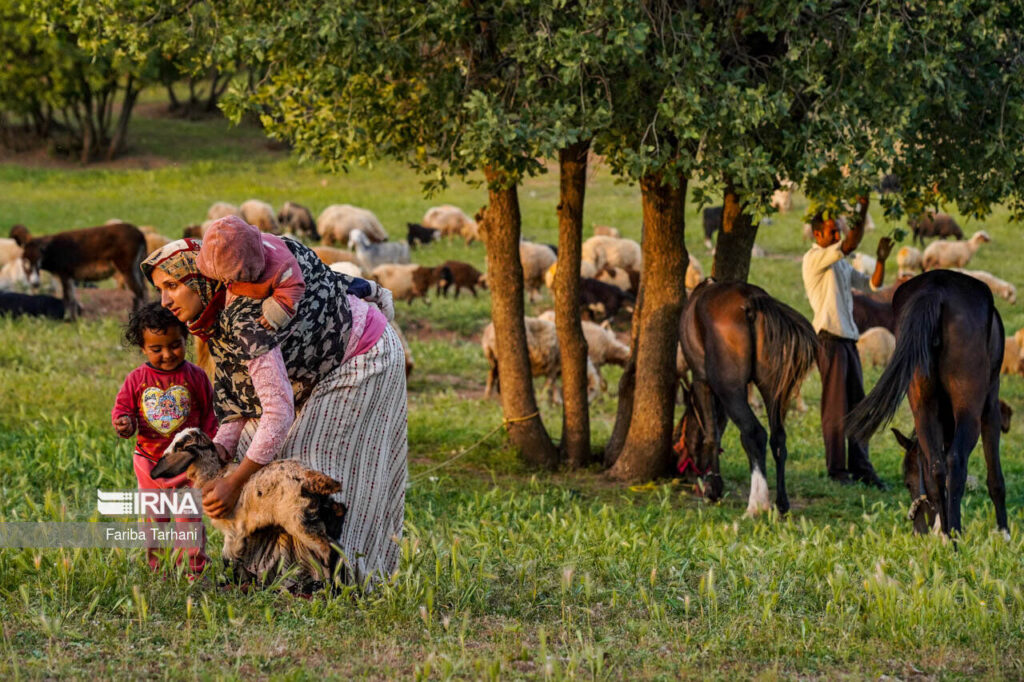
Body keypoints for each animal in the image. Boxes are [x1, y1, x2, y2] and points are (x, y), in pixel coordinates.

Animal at [9, 222, 146, 319]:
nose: (35, 283)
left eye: (39, 260)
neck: (52, 252)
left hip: (126, 269)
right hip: (138, 269)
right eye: (25, 261)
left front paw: (68, 320)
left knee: (138, 293)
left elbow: (67, 298)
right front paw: (75, 321)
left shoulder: (64, 275)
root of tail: (140, 234)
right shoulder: (66, 277)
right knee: (145, 291)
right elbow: (72, 299)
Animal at [149, 430, 346, 585]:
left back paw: (331, 585)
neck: (214, 475)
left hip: (299, 522)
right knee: (338, 514)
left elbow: (229, 559)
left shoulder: (233, 533)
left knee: (327, 550)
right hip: (315, 509)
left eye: (178, 446)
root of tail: (307, 476)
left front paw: (231, 583)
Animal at [675, 278, 819, 512]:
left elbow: (712, 434)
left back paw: (757, 504)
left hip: (730, 389)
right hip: (772, 390)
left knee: (754, 433)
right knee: (778, 438)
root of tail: (752, 302)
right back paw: (781, 503)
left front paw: (713, 487)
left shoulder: (701, 380)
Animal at [847, 268, 1007, 540]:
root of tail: (936, 288)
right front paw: (1004, 534)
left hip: (921, 405)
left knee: (936, 466)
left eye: (908, 483)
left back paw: (946, 534)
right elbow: (995, 475)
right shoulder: (990, 407)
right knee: (955, 462)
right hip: (970, 408)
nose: (918, 529)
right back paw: (954, 535)